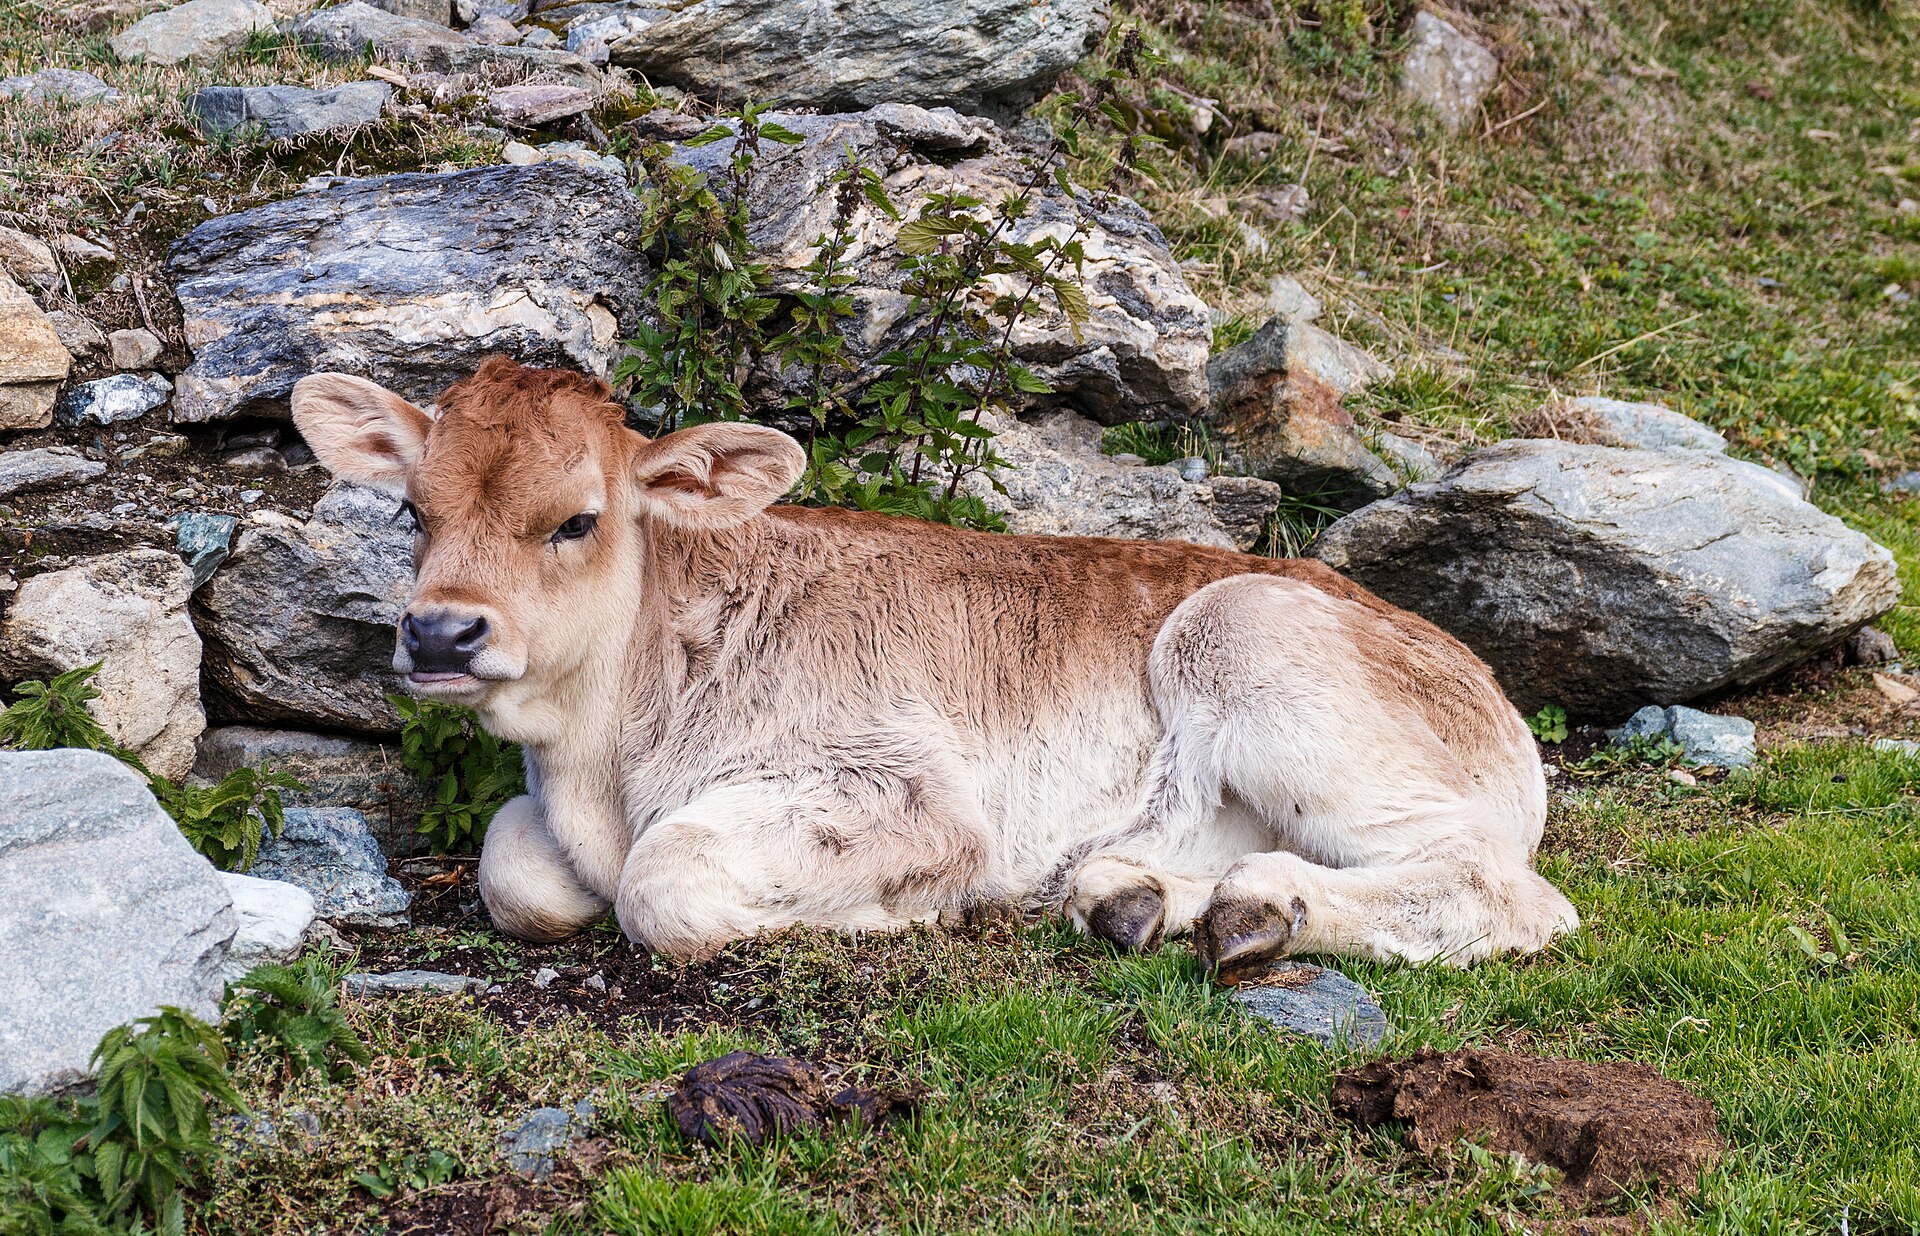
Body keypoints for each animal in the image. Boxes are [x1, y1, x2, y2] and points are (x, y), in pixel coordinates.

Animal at [291, 356, 1578, 981]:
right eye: (412, 511)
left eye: (577, 520)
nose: (441, 635)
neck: (604, 760)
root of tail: (1492, 695)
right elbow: (515, 873)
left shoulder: (911, 791)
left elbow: (668, 879)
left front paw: (884, 917)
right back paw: (1137, 901)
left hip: (1251, 638)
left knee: (1503, 890)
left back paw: (1259, 911)